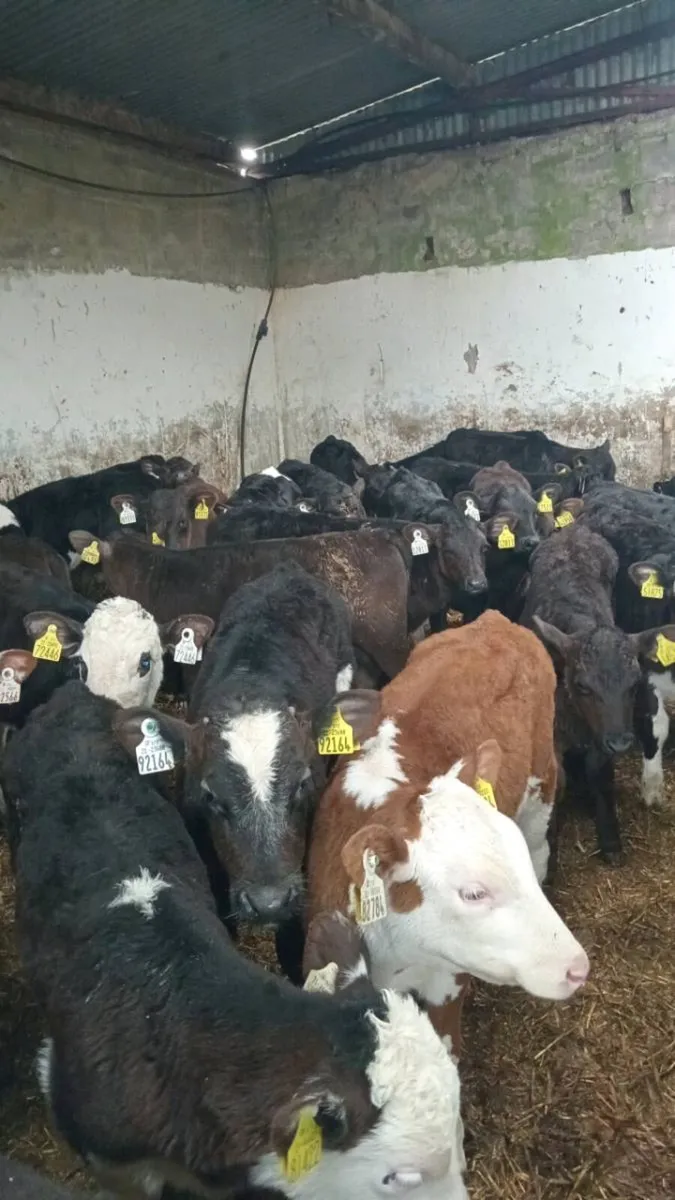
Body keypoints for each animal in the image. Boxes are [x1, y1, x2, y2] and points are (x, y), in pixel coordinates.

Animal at [520, 523, 675, 862]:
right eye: (582, 685)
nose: (621, 742)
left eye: (634, 684)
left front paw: (611, 840)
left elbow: (600, 772)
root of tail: (573, 531)